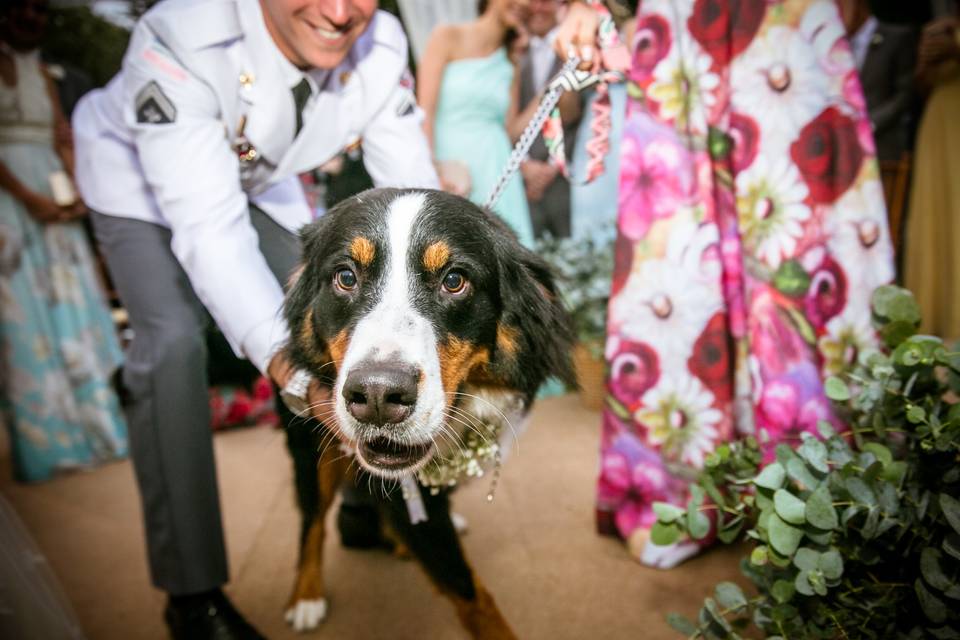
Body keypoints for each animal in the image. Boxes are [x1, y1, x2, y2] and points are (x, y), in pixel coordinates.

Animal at [282, 188, 572, 636]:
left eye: (454, 281)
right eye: (346, 277)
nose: (378, 394)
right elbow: (471, 594)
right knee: (311, 520)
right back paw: (306, 595)